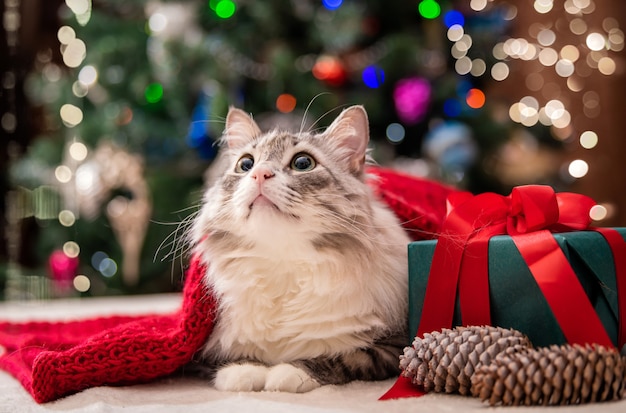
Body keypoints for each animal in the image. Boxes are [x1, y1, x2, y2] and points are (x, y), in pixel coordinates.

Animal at [189, 104, 410, 392]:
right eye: (246, 164)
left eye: (303, 163)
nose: (259, 174)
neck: (281, 262)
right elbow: (232, 359)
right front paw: (243, 371)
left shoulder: (394, 345)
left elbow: (344, 356)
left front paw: (287, 373)